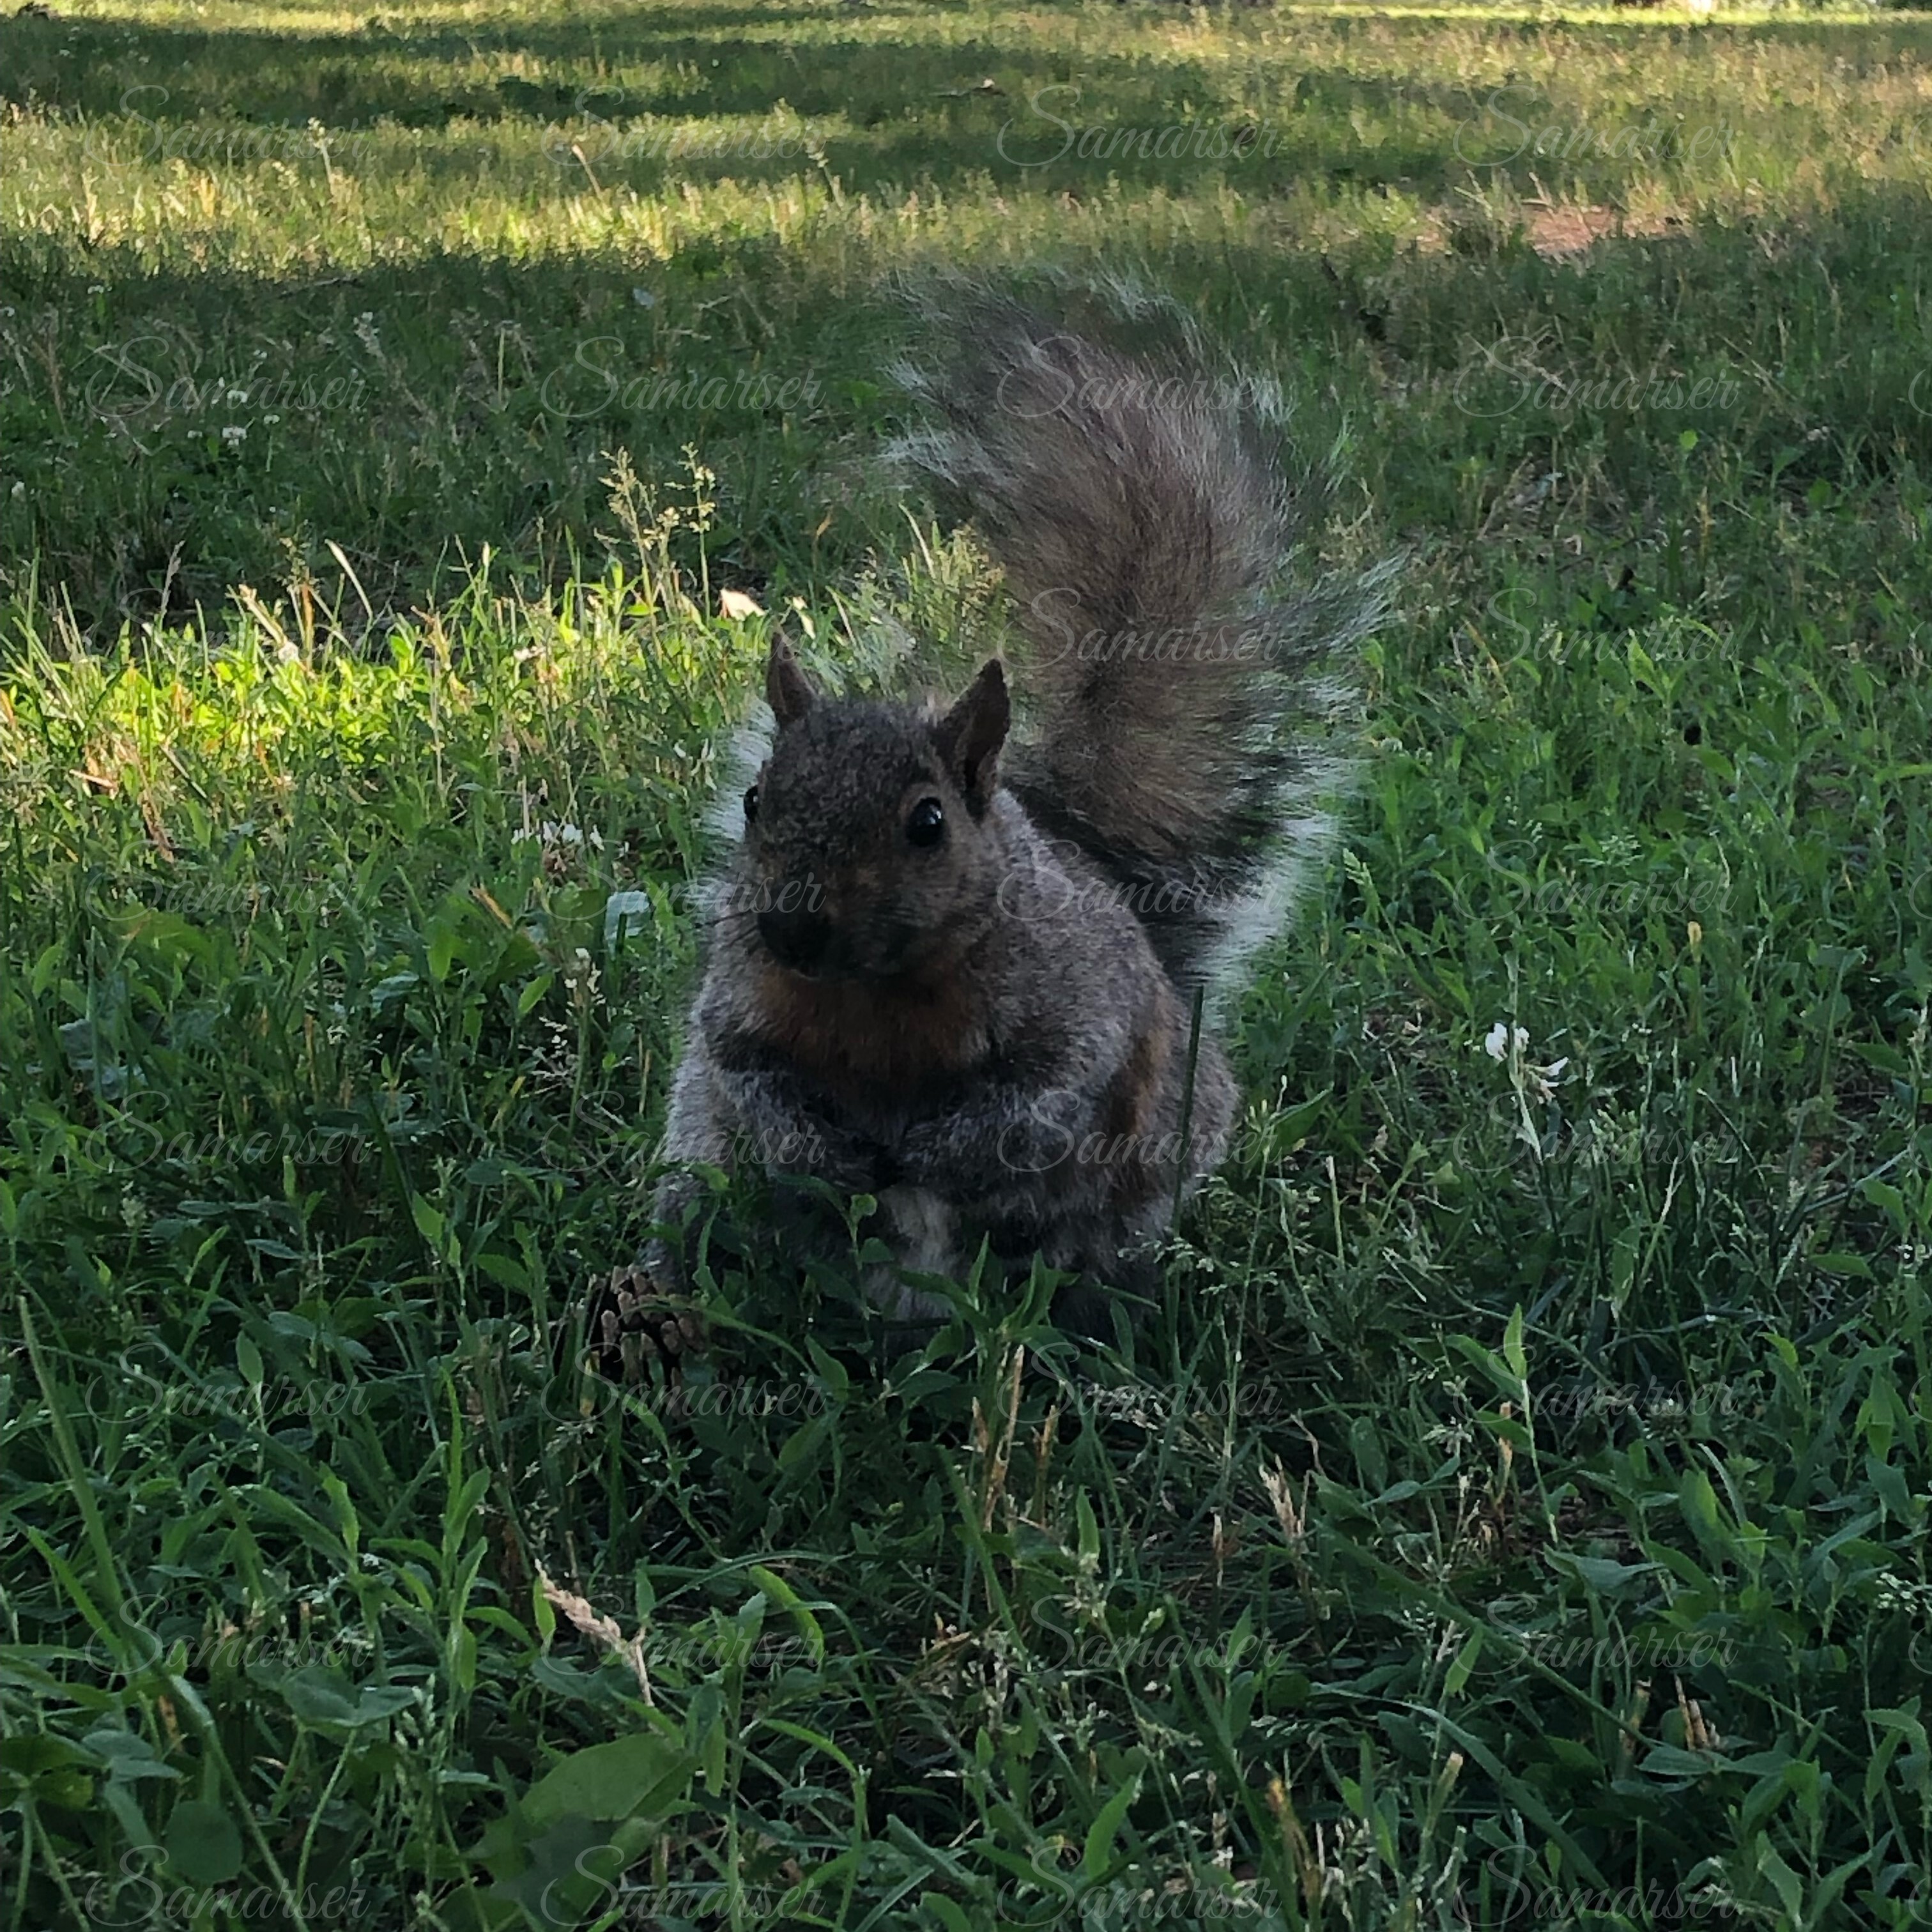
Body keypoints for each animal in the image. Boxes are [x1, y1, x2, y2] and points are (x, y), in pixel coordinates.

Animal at [589, 287, 1388, 1367]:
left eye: (928, 822)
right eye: (756, 802)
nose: (790, 929)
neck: (880, 990)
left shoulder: (1080, 1004)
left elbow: (1046, 1091)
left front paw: (937, 1148)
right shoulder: (739, 1002)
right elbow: (747, 1070)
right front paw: (827, 1149)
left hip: (1134, 1189)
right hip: (705, 1168)